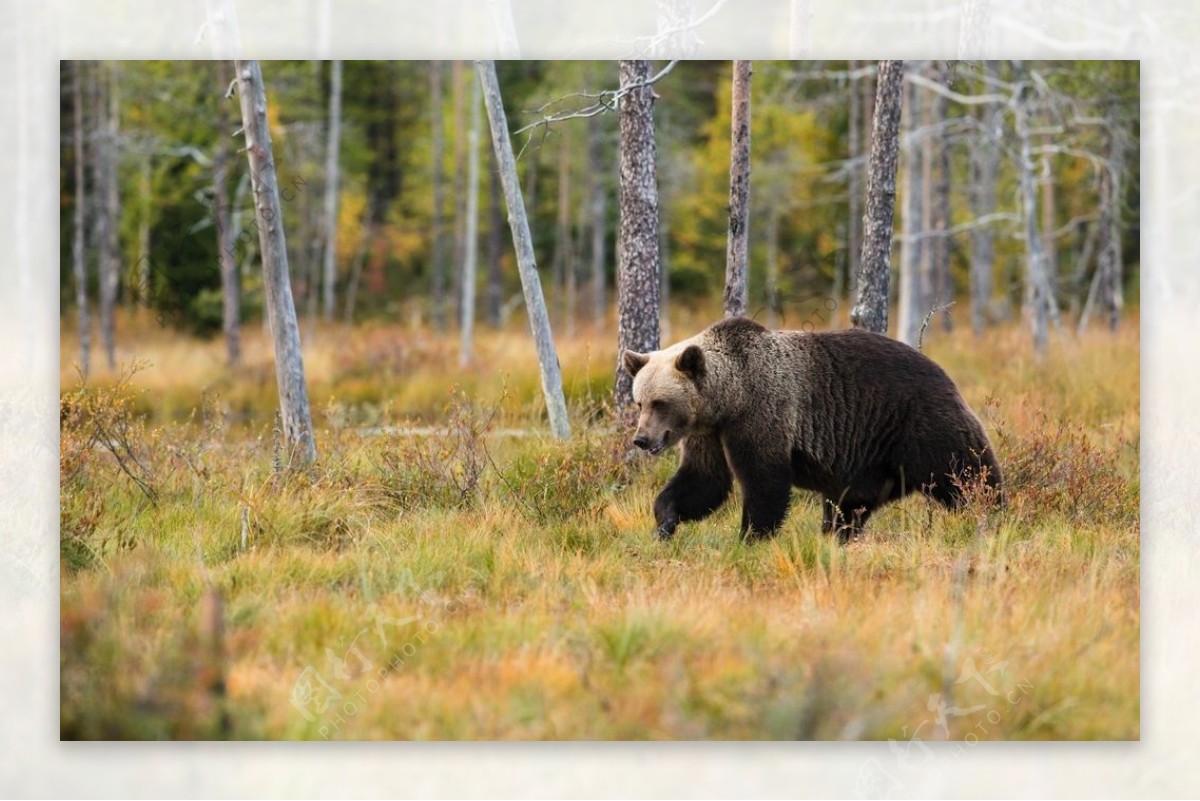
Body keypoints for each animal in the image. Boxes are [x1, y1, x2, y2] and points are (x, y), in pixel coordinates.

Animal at [624, 318, 998, 544]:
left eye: (660, 402)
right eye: (640, 402)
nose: (641, 439)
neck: (729, 399)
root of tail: (943, 371)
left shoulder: (762, 413)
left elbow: (765, 482)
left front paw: (750, 537)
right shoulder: (709, 434)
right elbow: (704, 481)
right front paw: (664, 523)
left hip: (917, 423)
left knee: (965, 472)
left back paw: (994, 514)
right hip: (867, 461)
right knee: (848, 506)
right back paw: (839, 537)